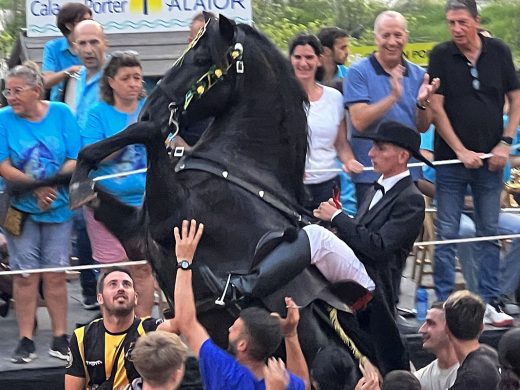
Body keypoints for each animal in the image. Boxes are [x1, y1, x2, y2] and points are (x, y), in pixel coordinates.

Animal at [70, 12, 374, 386]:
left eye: (201, 59)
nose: (150, 107)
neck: (240, 168)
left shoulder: (170, 218)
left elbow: (148, 134)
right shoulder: (136, 234)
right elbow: (99, 190)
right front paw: (78, 180)